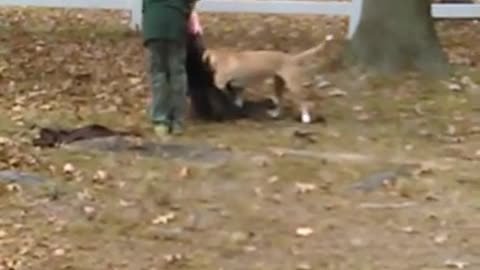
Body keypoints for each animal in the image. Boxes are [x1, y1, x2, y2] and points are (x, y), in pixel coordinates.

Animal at [203, 35, 334, 124]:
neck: (221, 57)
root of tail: (291, 58)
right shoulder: (238, 87)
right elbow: (238, 99)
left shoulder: (220, 83)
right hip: (278, 84)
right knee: (280, 101)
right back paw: (275, 114)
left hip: (293, 86)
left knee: (303, 101)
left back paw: (305, 118)